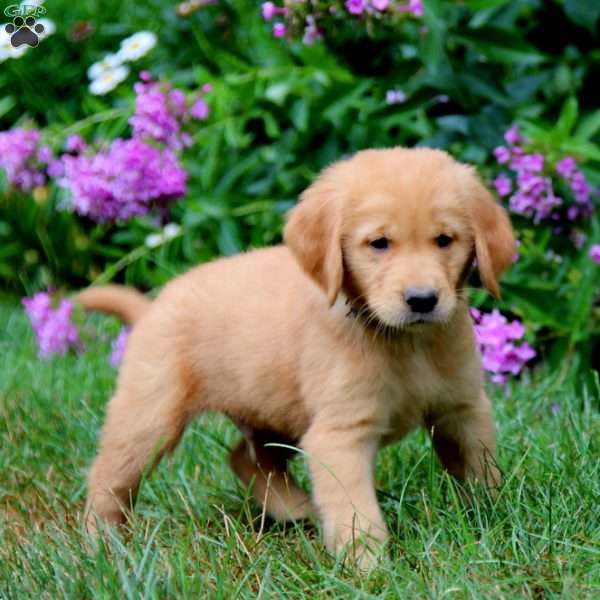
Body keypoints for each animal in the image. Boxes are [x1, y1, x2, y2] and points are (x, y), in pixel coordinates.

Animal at [79, 146, 512, 568]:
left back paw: (294, 509)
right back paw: (99, 544)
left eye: (444, 240)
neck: (406, 343)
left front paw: (492, 517)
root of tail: (151, 308)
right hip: (150, 417)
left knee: (245, 457)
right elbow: (356, 512)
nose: (423, 300)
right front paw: (369, 569)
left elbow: (481, 467)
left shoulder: (462, 408)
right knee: (108, 478)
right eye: (379, 243)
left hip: (275, 409)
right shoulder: (339, 435)